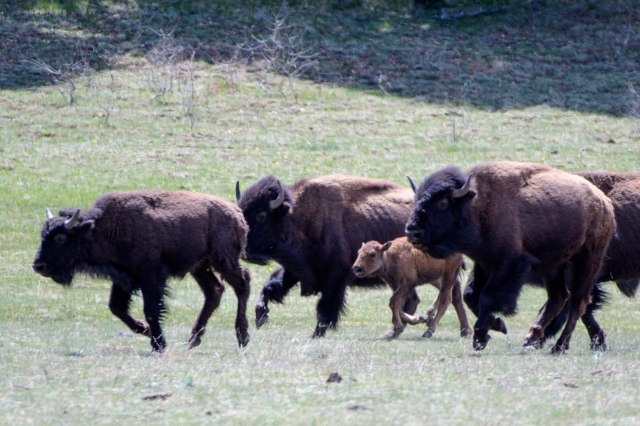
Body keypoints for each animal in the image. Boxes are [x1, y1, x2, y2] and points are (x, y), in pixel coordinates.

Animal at [33, 190, 251, 351]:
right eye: (43, 234)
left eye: (60, 237)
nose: (38, 266)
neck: (102, 228)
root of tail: (236, 213)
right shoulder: (123, 279)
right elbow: (117, 308)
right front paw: (146, 331)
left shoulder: (152, 279)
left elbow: (151, 310)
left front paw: (158, 344)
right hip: (199, 266)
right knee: (214, 291)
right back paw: (193, 340)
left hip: (222, 260)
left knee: (242, 284)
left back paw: (242, 337)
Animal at [236, 175, 416, 337]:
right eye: (241, 212)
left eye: (261, 216)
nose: (244, 250)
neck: (297, 219)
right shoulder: (294, 270)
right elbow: (270, 287)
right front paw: (260, 317)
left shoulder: (336, 278)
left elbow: (325, 310)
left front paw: (316, 335)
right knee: (410, 300)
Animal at [405, 161, 615, 353]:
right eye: (417, 199)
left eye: (442, 202)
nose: (412, 231)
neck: (477, 204)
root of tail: (605, 204)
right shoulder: (483, 264)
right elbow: (471, 296)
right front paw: (496, 325)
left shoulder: (508, 264)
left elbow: (488, 297)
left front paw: (480, 337)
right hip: (554, 267)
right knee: (559, 297)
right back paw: (530, 339)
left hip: (586, 262)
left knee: (578, 301)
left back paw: (559, 346)